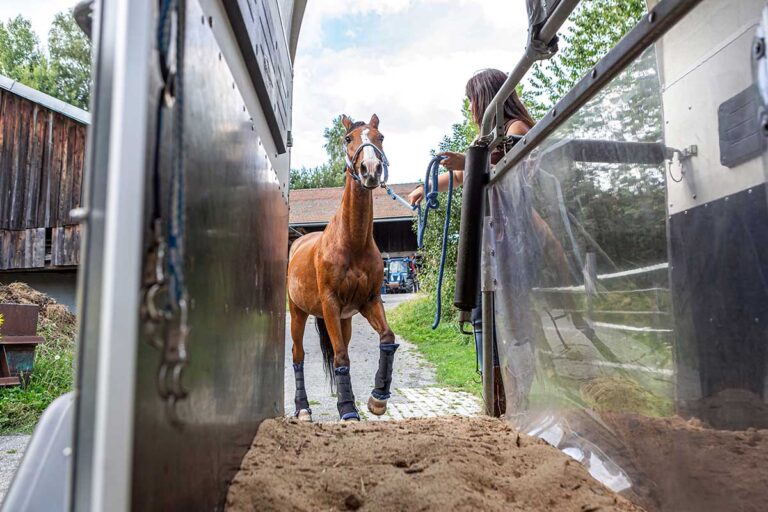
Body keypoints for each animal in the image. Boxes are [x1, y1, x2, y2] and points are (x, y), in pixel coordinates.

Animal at [286, 114, 396, 422]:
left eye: (381, 136)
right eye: (348, 139)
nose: (370, 169)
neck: (352, 243)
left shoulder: (369, 301)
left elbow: (387, 338)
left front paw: (377, 398)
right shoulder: (331, 305)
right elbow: (340, 357)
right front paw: (347, 409)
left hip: (344, 319)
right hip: (298, 314)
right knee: (298, 355)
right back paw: (303, 409)